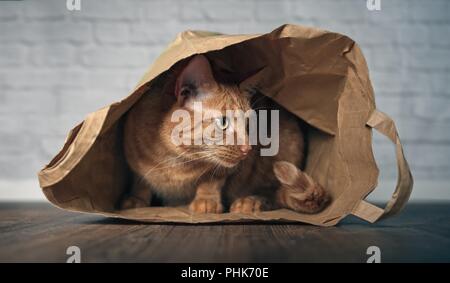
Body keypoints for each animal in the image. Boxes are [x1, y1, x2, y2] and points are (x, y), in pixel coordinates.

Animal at [121, 55, 328, 215]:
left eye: (248, 123)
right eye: (223, 122)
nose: (248, 148)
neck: (176, 160)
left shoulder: (226, 170)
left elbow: (212, 179)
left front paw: (207, 201)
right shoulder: (133, 160)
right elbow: (140, 181)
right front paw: (135, 199)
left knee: (274, 193)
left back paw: (251, 201)